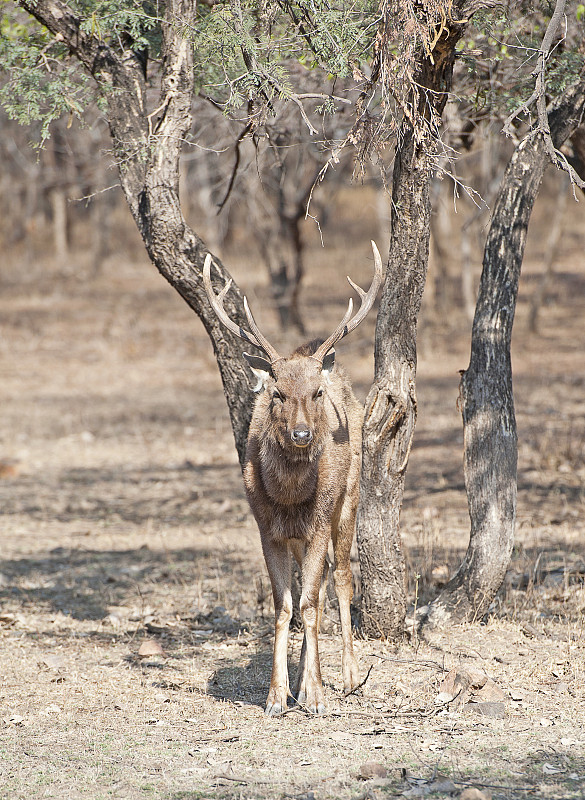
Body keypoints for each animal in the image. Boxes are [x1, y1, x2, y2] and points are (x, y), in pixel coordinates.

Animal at [202, 242, 384, 712]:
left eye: (316, 393)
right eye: (277, 393)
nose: (302, 434)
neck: (287, 497)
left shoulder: (319, 520)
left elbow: (311, 601)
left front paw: (315, 695)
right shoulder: (266, 527)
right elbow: (285, 606)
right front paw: (276, 694)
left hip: (349, 497)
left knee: (340, 578)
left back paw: (349, 676)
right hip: (301, 535)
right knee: (313, 585)